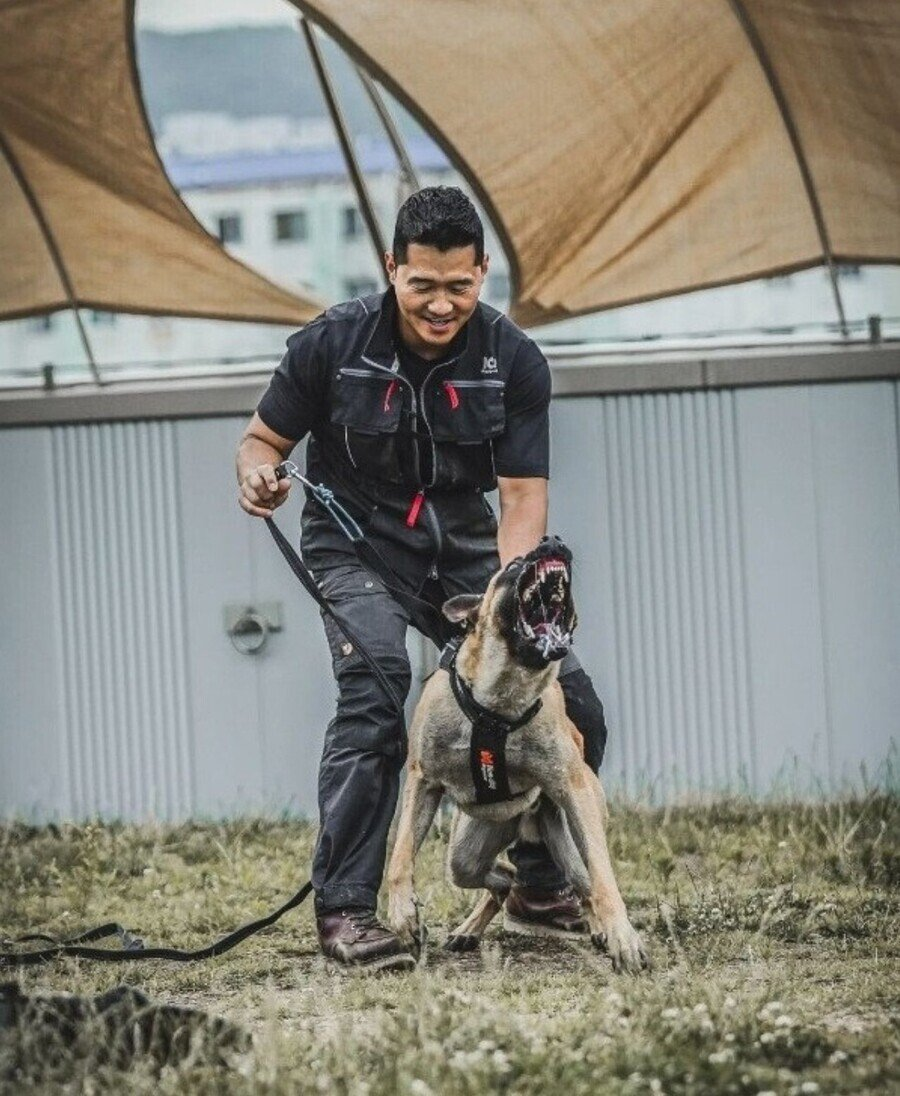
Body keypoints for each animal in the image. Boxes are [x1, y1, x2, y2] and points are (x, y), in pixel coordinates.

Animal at [383, 534, 644, 973]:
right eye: (513, 564)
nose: (553, 540)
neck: (500, 701)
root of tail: (526, 818)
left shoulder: (572, 791)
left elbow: (605, 880)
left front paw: (623, 938)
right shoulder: (423, 780)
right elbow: (400, 855)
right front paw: (402, 913)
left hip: (570, 838)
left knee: (583, 883)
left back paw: (599, 928)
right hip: (466, 853)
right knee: (503, 875)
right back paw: (470, 928)